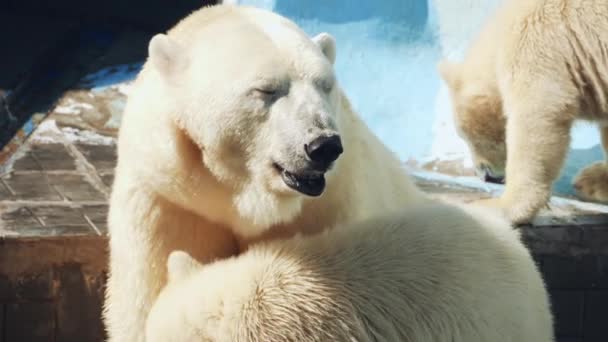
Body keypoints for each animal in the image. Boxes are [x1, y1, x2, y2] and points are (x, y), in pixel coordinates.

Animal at [436, 0, 608, 223]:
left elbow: (537, 117)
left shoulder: (534, 43)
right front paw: (594, 180)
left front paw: (502, 206)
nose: (487, 175)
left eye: (466, 137)